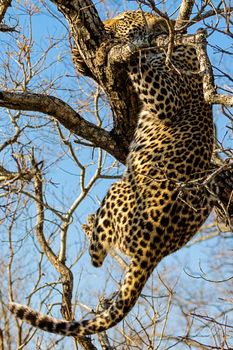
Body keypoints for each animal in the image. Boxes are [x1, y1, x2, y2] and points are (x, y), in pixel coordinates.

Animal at [7, 10, 215, 336]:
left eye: (124, 17)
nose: (105, 27)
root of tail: (154, 251)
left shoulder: (168, 96)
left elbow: (140, 60)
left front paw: (120, 46)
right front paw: (80, 54)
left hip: (120, 190)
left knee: (97, 256)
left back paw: (91, 225)